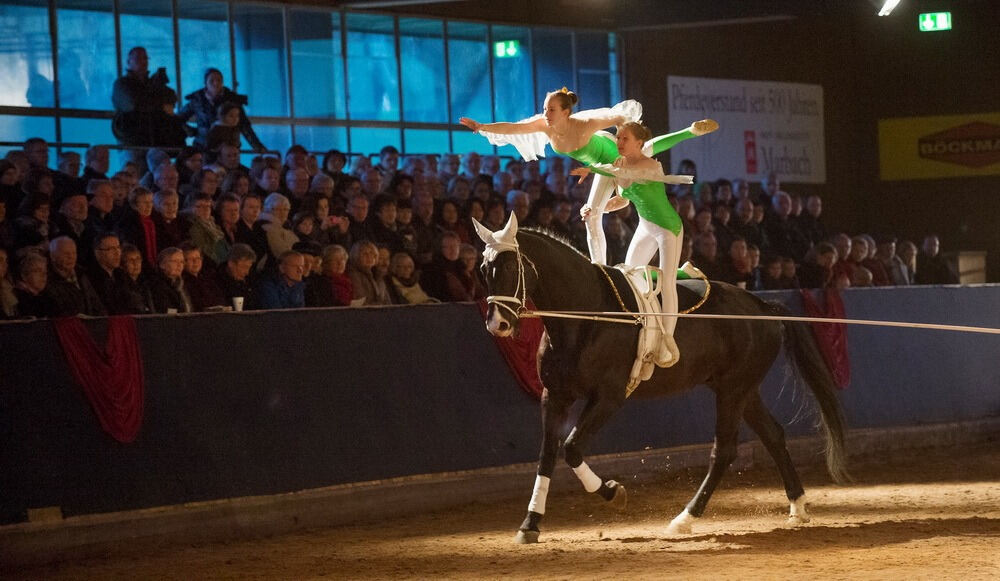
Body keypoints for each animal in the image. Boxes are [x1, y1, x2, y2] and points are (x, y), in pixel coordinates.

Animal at [472, 214, 848, 544]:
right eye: (483, 270)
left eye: (510, 267)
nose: (497, 324)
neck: (584, 317)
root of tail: (762, 306)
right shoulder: (555, 395)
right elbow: (547, 455)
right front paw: (530, 524)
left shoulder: (608, 397)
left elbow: (572, 449)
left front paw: (614, 494)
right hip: (741, 389)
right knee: (773, 435)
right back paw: (798, 506)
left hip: (733, 390)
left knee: (724, 450)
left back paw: (685, 518)